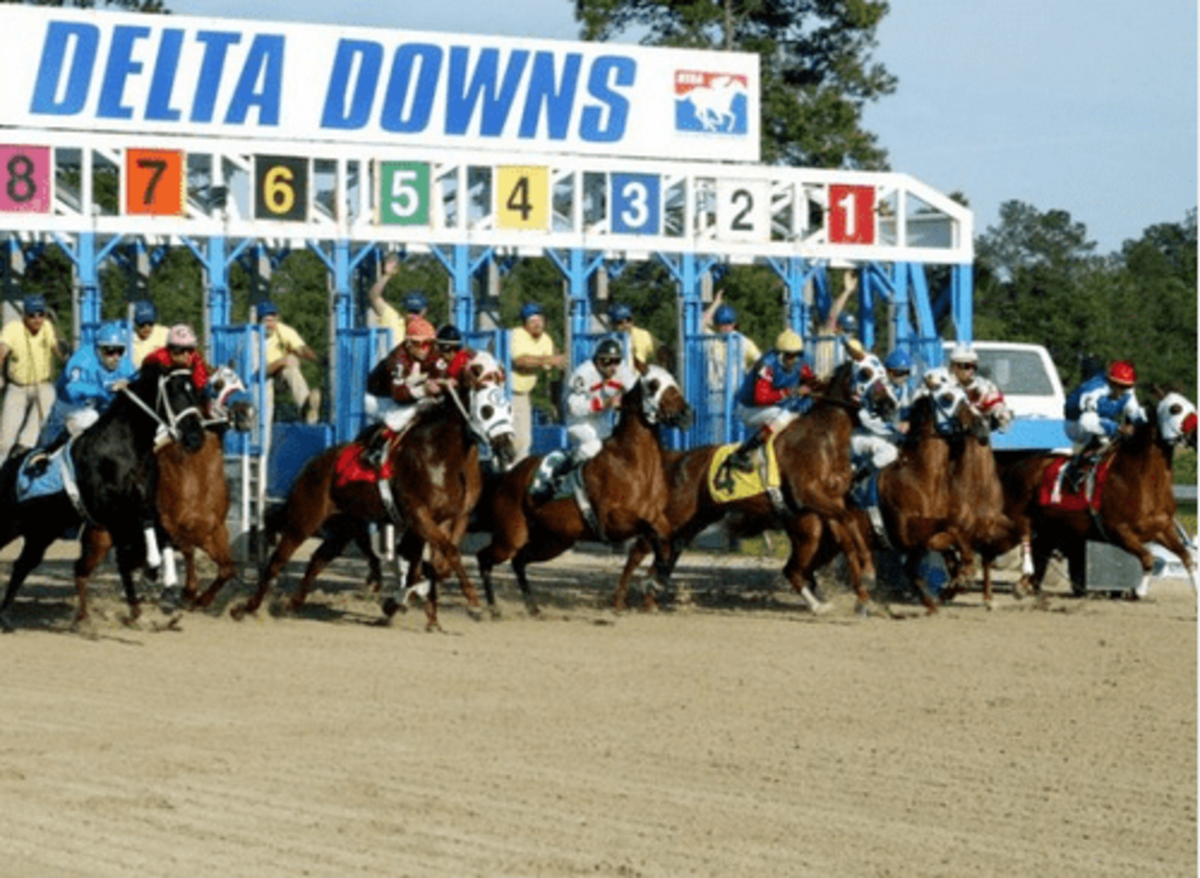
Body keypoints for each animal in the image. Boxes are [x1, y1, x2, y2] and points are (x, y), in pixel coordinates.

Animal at [0, 359, 206, 628]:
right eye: (174, 392)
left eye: (198, 393)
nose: (196, 438)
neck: (123, 450)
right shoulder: (114, 513)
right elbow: (132, 551)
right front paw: (152, 574)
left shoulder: (142, 505)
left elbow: (161, 536)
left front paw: (168, 589)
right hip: (12, 525)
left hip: (41, 532)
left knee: (23, 565)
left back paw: (6, 616)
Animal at [232, 352, 516, 628]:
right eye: (487, 409)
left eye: (509, 407)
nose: (509, 451)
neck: (442, 455)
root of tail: (313, 464)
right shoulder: (419, 516)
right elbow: (444, 556)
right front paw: (473, 601)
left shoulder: (452, 518)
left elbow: (436, 565)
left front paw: (415, 611)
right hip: (305, 518)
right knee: (277, 561)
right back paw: (245, 609)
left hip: (343, 527)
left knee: (317, 559)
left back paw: (290, 605)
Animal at [470, 359, 691, 614]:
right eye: (653, 384)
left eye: (674, 380)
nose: (687, 414)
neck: (632, 463)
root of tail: (507, 475)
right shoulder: (615, 523)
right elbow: (655, 534)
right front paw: (653, 581)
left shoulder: (657, 517)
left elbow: (671, 538)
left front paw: (658, 579)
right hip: (512, 535)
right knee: (485, 557)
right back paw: (493, 608)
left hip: (554, 540)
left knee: (518, 560)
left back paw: (533, 608)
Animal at [614, 359, 878, 614]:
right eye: (865, 375)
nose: (885, 406)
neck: (823, 437)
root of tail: (677, 458)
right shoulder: (812, 497)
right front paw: (865, 581)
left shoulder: (826, 507)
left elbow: (845, 536)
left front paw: (863, 591)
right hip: (676, 514)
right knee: (642, 547)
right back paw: (624, 597)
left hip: (699, 519)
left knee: (671, 549)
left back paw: (650, 594)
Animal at [993, 393, 1200, 599]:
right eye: (1175, 408)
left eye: (1192, 405)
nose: (1196, 435)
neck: (1143, 483)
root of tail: (1015, 466)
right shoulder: (1119, 531)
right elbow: (1149, 558)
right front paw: (1138, 590)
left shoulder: (1162, 529)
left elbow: (1187, 557)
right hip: (1022, 517)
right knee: (1025, 542)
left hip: (1049, 526)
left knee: (1040, 550)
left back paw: (1026, 585)